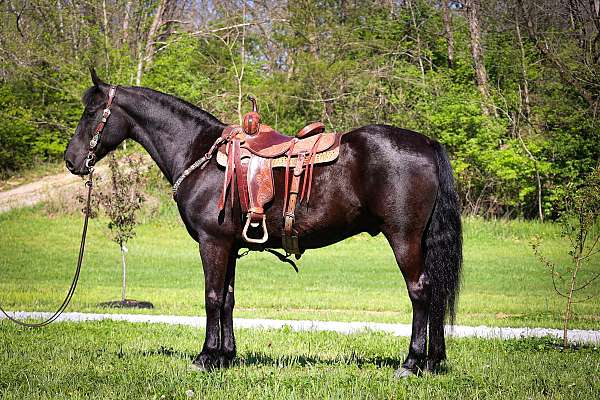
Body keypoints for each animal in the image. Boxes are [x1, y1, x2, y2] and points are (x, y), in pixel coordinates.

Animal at [64, 70, 464, 376]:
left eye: (91, 112)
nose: (71, 160)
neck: (199, 153)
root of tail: (426, 143)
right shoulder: (228, 244)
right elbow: (227, 299)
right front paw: (225, 356)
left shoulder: (212, 242)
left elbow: (211, 297)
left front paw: (205, 357)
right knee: (435, 292)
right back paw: (432, 361)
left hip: (404, 238)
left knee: (420, 292)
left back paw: (411, 363)